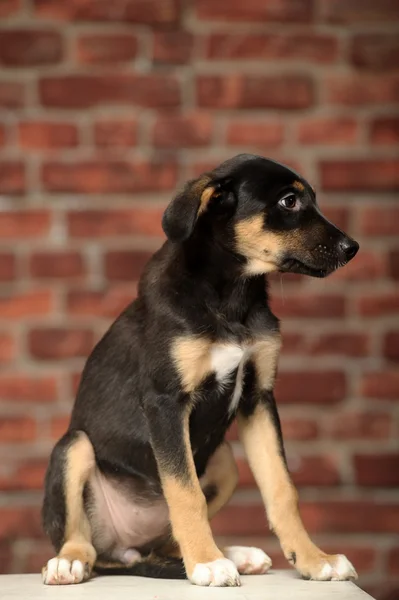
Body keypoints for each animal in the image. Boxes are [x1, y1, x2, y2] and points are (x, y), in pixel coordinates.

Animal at [42, 151, 360, 584]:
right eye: (289, 202)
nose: (352, 247)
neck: (231, 297)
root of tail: (128, 550)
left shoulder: (259, 397)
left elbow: (282, 488)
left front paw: (314, 559)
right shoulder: (165, 402)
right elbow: (185, 491)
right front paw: (207, 564)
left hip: (224, 460)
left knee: (164, 543)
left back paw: (233, 555)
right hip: (73, 447)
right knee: (83, 541)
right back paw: (70, 561)